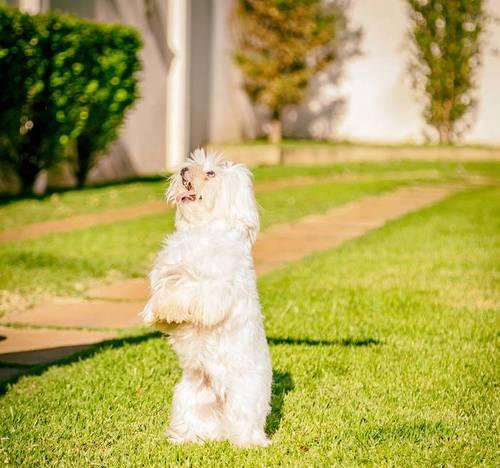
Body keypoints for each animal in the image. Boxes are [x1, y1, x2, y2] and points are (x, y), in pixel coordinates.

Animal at [141, 149, 274, 446]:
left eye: (211, 173)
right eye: (190, 165)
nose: (182, 172)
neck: (203, 229)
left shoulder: (214, 291)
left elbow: (186, 294)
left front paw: (169, 307)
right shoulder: (166, 271)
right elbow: (162, 290)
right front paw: (155, 312)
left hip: (244, 399)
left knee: (244, 424)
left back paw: (248, 443)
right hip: (187, 398)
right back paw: (184, 439)